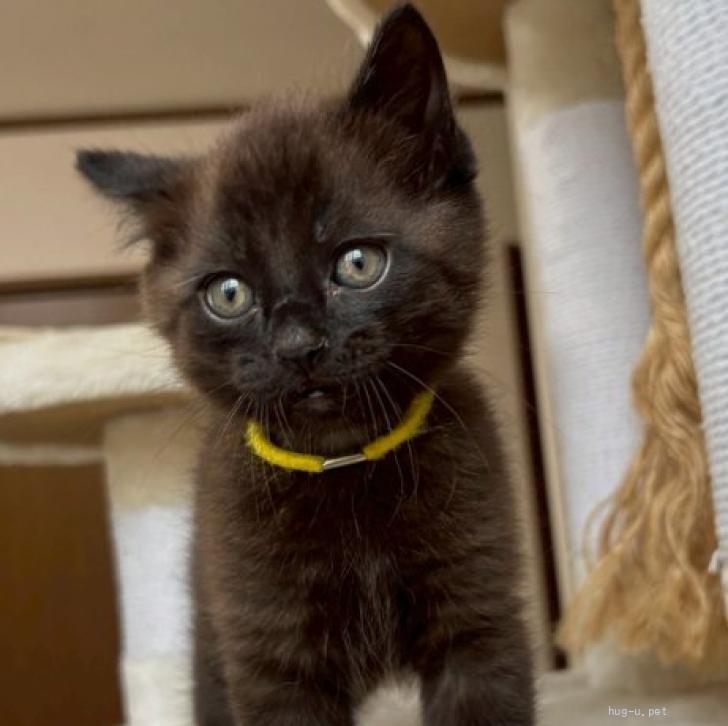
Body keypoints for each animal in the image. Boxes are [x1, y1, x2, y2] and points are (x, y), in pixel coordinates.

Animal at [76, 4, 534, 725]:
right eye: (228, 294)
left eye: (358, 263)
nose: (298, 346)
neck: (343, 466)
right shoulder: (268, 648)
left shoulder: (478, 615)